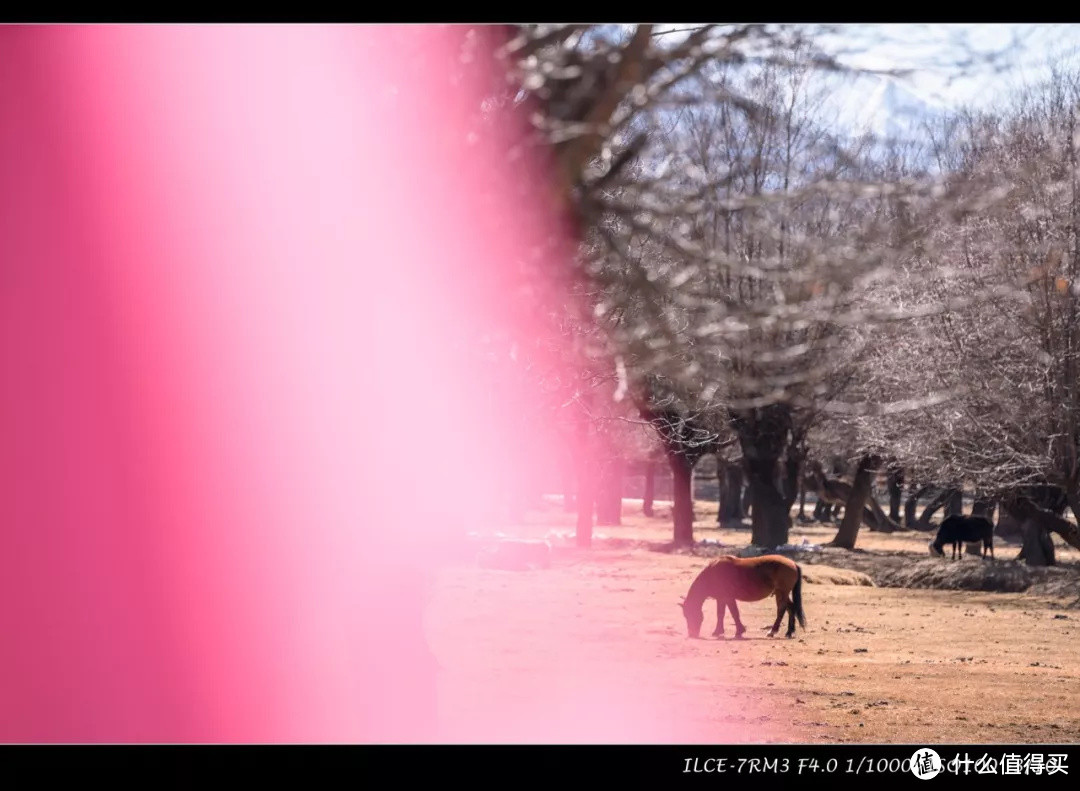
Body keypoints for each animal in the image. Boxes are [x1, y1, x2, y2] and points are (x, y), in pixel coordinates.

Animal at [678, 553, 807, 639]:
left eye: (689, 614)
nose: (692, 634)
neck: (713, 573)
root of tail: (793, 563)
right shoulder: (722, 599)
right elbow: (722, 614)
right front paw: (721, 631)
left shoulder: (727, 598)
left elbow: (732, 613)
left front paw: (737, 631)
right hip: (781, 593)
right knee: (791, 608)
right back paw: (789, 632)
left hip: (782, 592)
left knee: (782, 609)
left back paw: (772, 631)